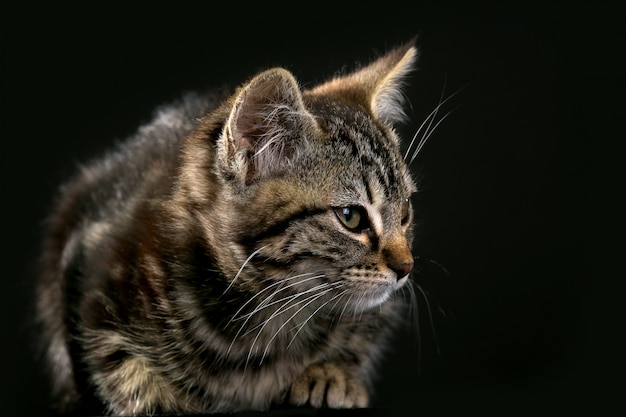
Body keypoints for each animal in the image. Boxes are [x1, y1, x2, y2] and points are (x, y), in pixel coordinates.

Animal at [36, 40, 416, 414]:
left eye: (405, 212)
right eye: (350, 216)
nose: (406, 267)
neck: (266, 312)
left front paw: (330, 373)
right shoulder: (91, 281)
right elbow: (118, 368)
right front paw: (160, 395)